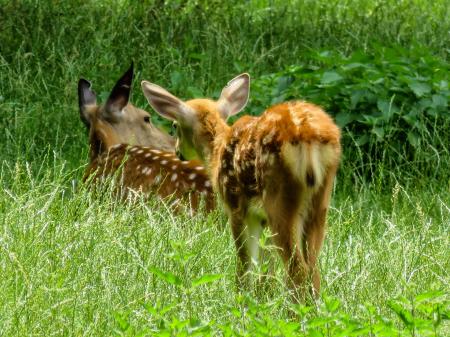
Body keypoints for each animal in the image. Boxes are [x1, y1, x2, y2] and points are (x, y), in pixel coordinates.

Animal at [141, 74, 342, 300]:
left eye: (175, 125)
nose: (177, 152)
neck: (217, 151)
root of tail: (308, 137)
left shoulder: (236, 204)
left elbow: (245, 260)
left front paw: (241, 299)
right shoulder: (261, 217)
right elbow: (266, 263)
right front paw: (263, 297)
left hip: (280, 198)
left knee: (298, 268)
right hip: (320, 201)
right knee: (313, 267)